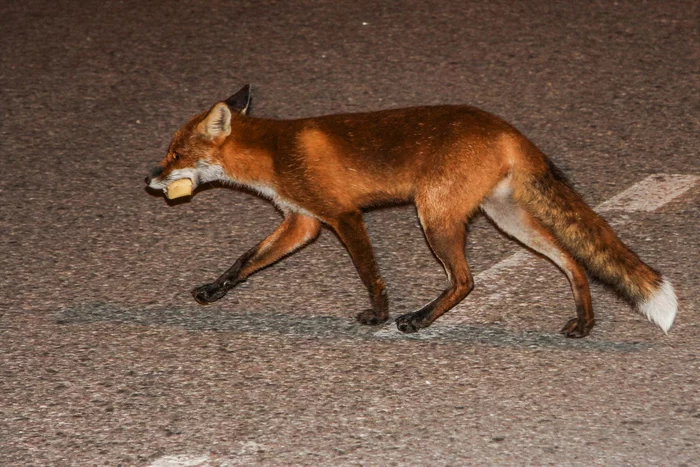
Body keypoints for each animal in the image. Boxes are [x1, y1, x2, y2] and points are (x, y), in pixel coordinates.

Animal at [145, 86, 676, 338]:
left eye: (175, 154)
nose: (148, 178)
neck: (273, 154)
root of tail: (506, 128)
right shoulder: (302, 221)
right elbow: (244, 261)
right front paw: (213, 290)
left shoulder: (341, 215)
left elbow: (370, 273)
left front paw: (378, 315)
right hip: (507, 218)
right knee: (572, 262)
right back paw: (584, 322)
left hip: (434, 216)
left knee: (466, 281)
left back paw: (418, 320)